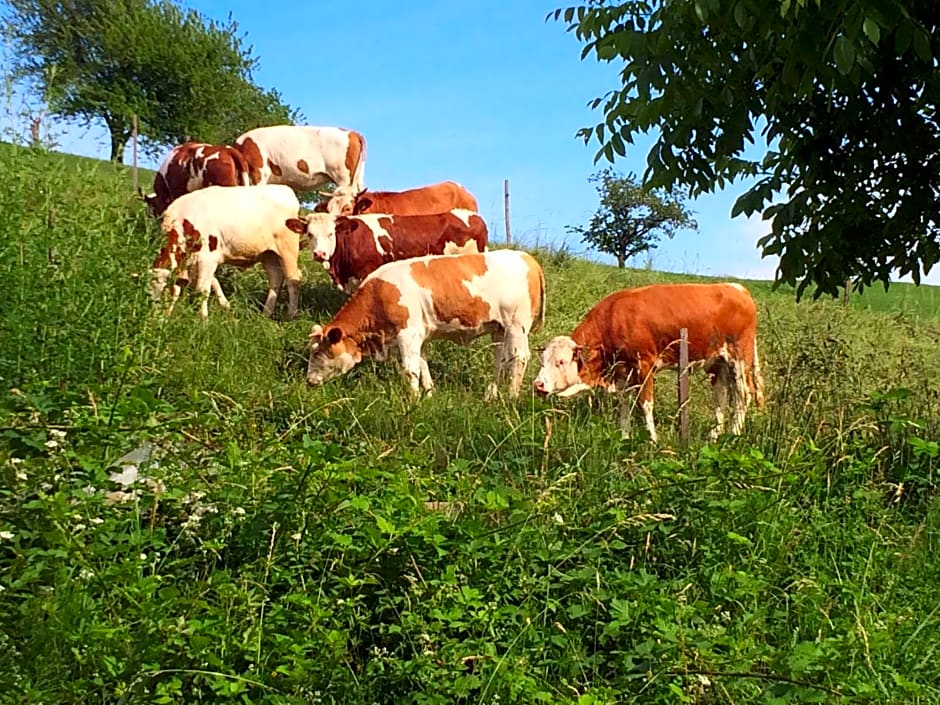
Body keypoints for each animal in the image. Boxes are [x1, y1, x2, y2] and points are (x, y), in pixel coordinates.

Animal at [151, 186, 302, 320]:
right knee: (275, 279)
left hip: (288, 250)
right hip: (268, 255)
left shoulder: (207, 258)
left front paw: (203, 319)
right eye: (149, 290)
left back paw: (290, 314)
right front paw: (225, 305)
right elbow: (210, 282)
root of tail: (285, 189)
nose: (156, 317)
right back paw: (266, 313)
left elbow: (202, 290)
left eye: (164, 290)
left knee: (293, 280)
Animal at [304, 250, 548, 398]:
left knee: (519, 358)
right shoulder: (419, 337)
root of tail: (526, 257)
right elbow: (423, 366)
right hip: (499, 329)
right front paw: (428, 396)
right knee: (501, 360)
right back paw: (490, 396)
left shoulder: (407, 333)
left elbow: (410, 370)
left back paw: (511, 397)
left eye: (318, 353)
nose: (309, 381)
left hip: (516, 324)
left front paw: (412, 400)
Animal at [532, 280, 760, 440]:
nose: (538, 385)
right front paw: (624, 436)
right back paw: (714, 435)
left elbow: (645, 403)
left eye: (561, 362)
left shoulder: (645, 365)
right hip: (717, 363)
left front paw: (652, 439)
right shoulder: (622, 370)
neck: (613, 318)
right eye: (543, 359)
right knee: (721, 396)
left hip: (739, 358)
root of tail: (737, 288)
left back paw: (733, 434)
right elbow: (624, 403)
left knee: (743, 395)